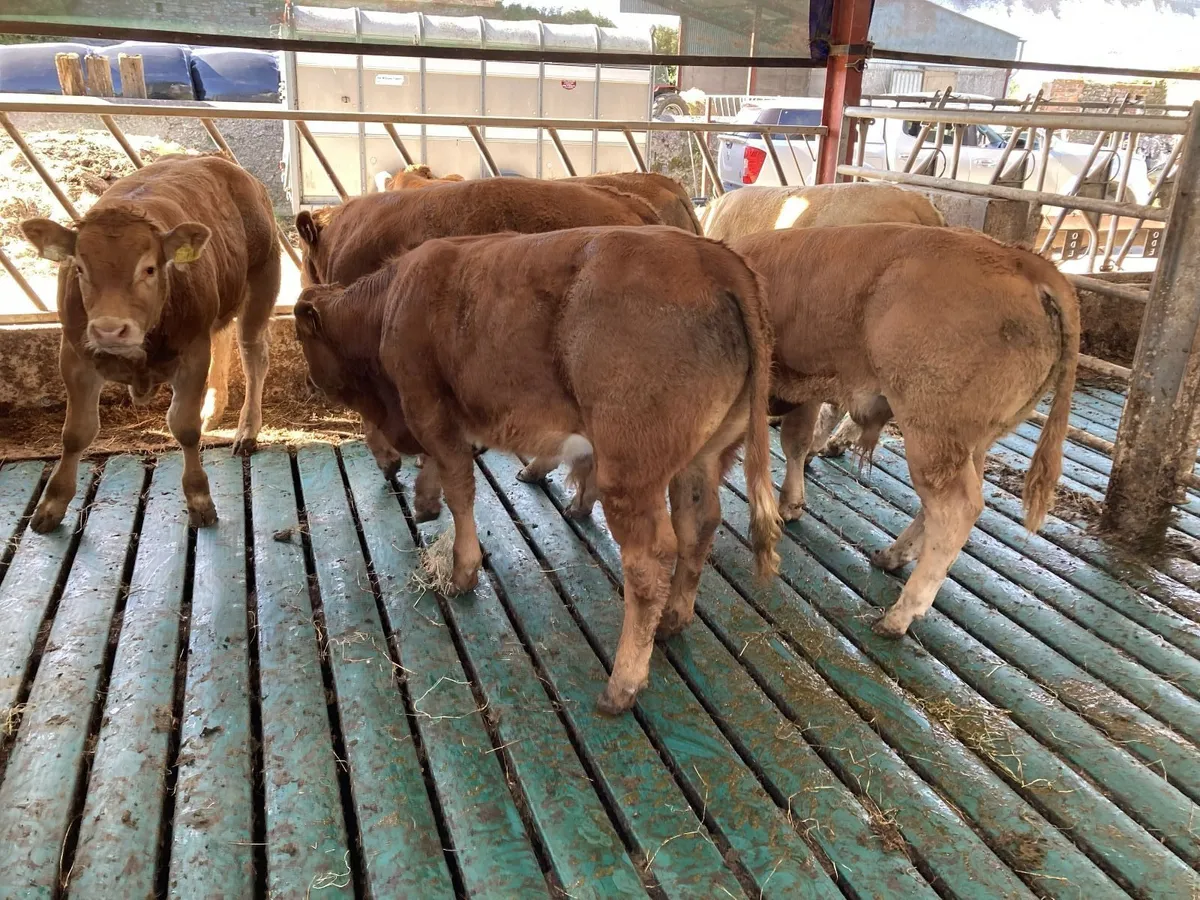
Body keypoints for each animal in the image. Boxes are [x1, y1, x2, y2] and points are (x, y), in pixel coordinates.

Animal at [20, 154, 279, 531]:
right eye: (79, 268)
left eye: (149, 269)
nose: (109, 330)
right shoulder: (74, 356)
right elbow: (76, 432)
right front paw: (51, 505)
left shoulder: (192, 355)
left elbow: (184, 427)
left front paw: (200, 500)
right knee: (223, 337)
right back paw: (213, 412)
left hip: (262, 281)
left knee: (253, 354)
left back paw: (246, 430)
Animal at [294, 225, 781, 714]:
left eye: (303, 340)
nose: (311, 381)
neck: (389, 303)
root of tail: (714, 257)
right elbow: (439, 469)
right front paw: (425, 501)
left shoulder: (426, 405)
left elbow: (460, 487)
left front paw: (462, 571)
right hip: (704, 457)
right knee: (699, 525)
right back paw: (674, 618)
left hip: (631, 466)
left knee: (650, 559)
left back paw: (622, 682)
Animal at [732, 224, 1078, 638]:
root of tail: (1024, 260)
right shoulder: (804, 389)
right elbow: (795, 443)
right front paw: (791, 504)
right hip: (966, 443)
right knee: (948, 503)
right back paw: (892, 556)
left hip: (930, 432)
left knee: (956, 508)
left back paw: (899, 615)